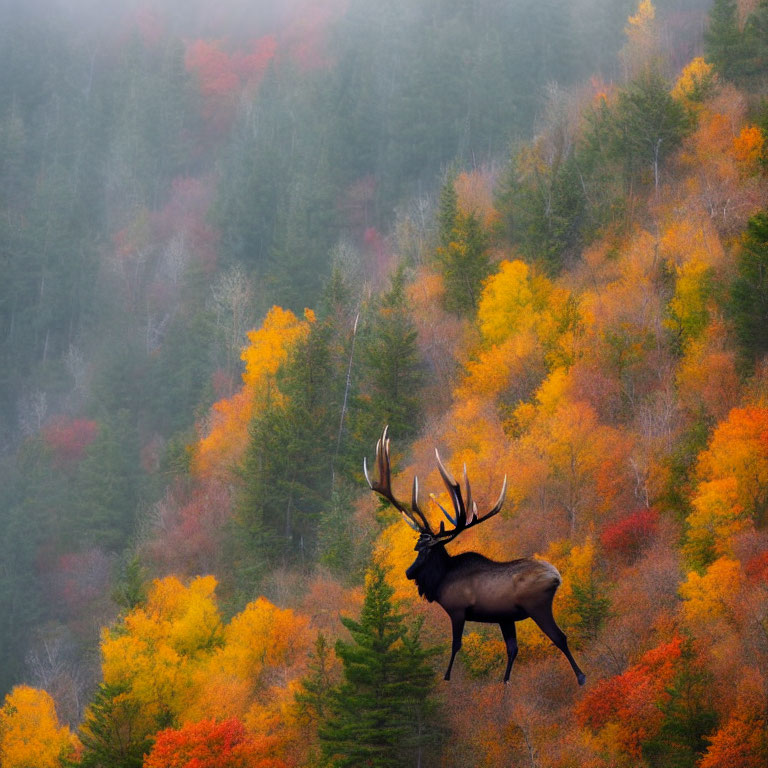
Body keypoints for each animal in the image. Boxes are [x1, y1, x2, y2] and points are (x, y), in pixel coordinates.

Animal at [364, 428, 584, 688]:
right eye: (417, 547)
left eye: (423, 550)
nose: (408, 572)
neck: (440, 581)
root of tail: (557, 577)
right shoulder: (504, 617)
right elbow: (512, 648)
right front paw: (505, 681)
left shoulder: (457, 610)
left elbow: (455, 645)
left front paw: (447, 677)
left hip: (537, 605)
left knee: (560, 637)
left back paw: (581, 676)